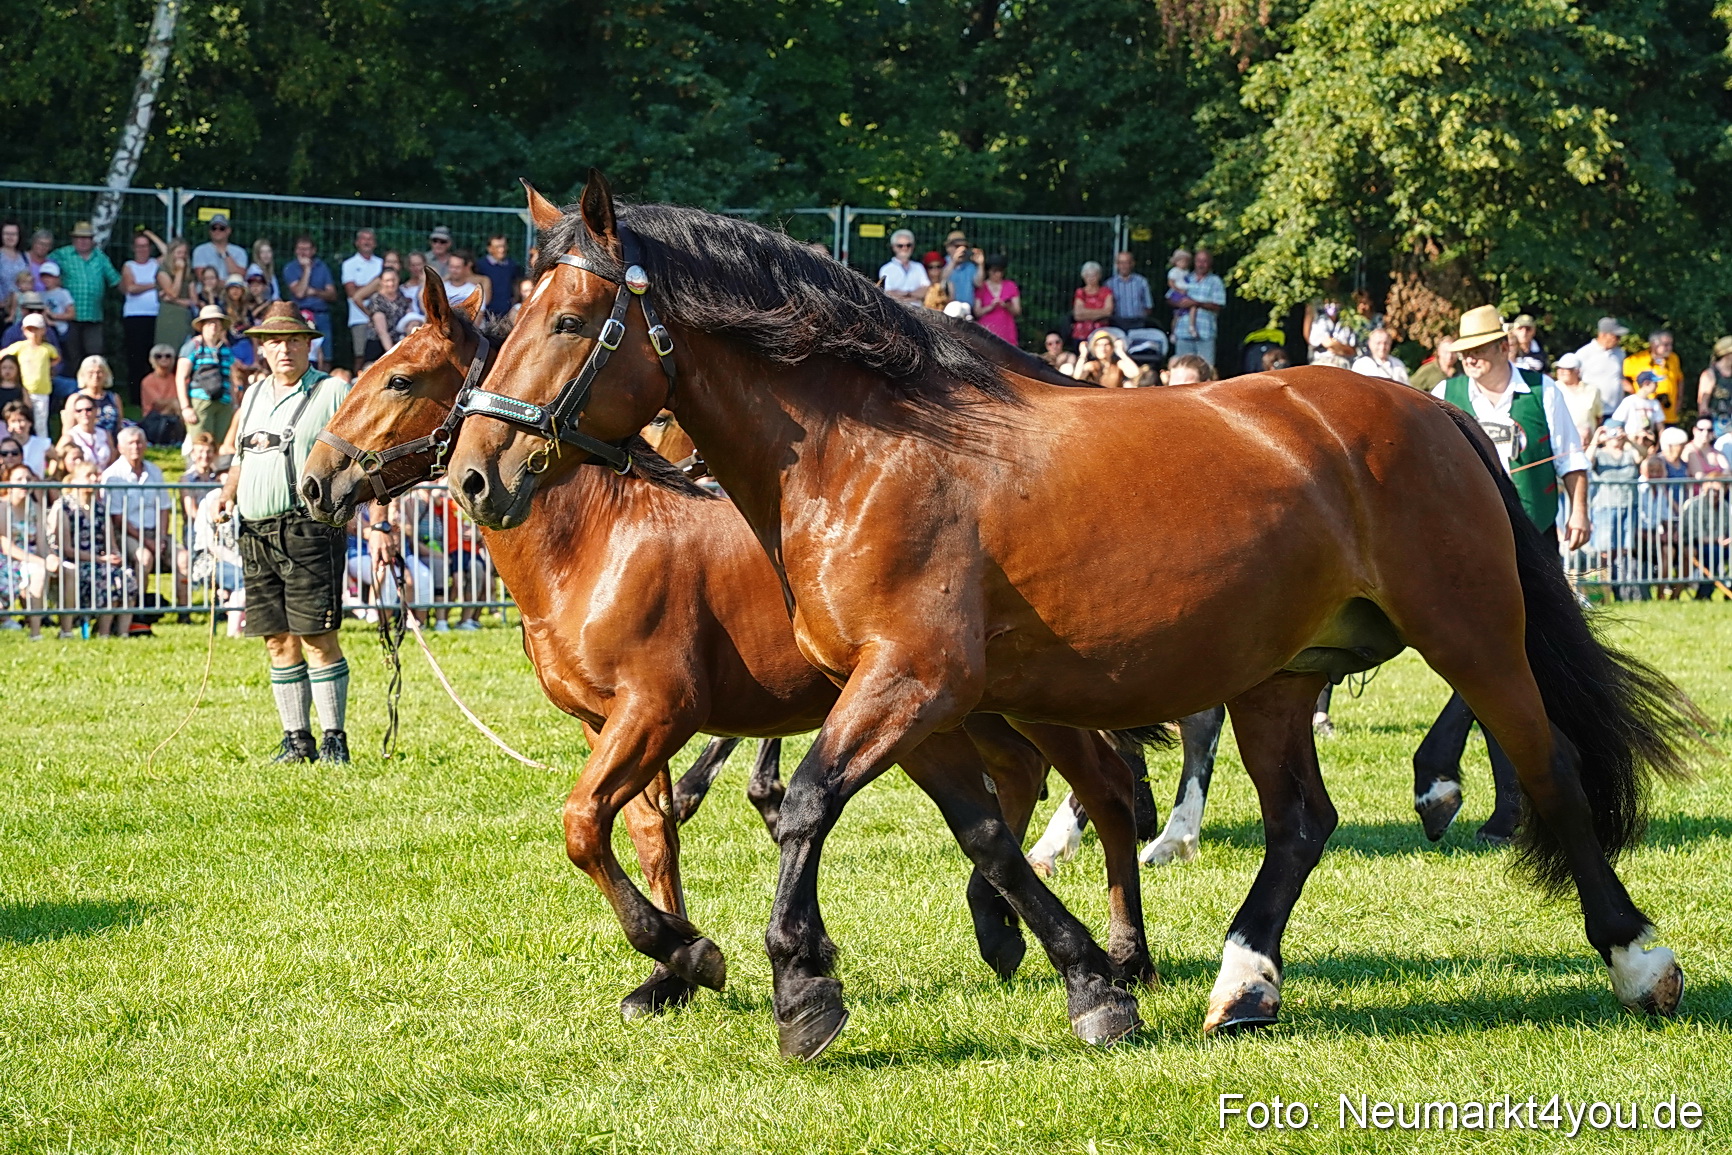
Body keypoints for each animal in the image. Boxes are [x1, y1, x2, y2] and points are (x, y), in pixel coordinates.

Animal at [299, 271, 1156, 1037]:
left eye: (400, 378)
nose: (313, 481)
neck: (596, 541)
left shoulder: (658, 710)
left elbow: (585, 821)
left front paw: (692, 953)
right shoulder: (607, 722)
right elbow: (646, 832)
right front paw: (670, 972)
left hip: (1026, 693)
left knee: (1104, 786)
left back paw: (1120, 958)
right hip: (959, 704)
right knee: (1019, 777)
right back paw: (1006, 927)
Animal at [447, 174, 1703, 1061]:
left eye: (572, 319)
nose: (473, 475)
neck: (866, 455)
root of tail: (1426, 409)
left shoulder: (912, 682)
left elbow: (804, 806)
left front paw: (795, 981)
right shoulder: (910, 701)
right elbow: (986, 837)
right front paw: (1092, 982)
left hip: (1471, 633)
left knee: (1543, 767)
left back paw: (1634, 956)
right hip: (1277, 676)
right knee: (1298, 821)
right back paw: (1244, 981)